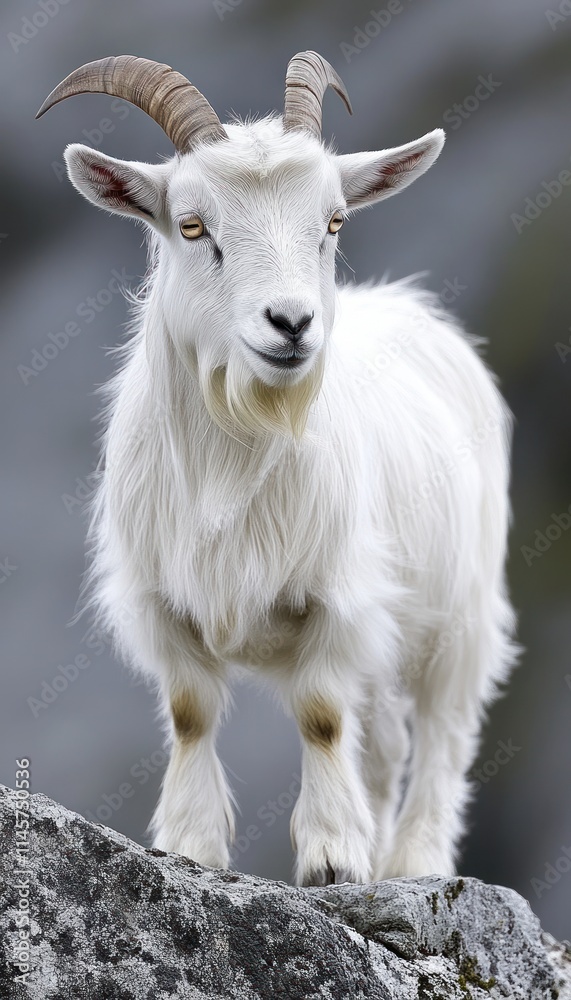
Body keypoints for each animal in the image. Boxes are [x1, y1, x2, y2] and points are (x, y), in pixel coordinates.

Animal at [37, 51, 517, 886]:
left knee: (443, 730)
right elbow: (191, 714)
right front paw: (189, 843)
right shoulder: (162, 602)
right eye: (192, 225)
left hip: (459, 611)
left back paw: (412, 861)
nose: (291, 323)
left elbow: (320, 719)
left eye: (332, 222)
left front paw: (330, 857)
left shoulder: (336, 596)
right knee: (385, 742)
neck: (239, 449)